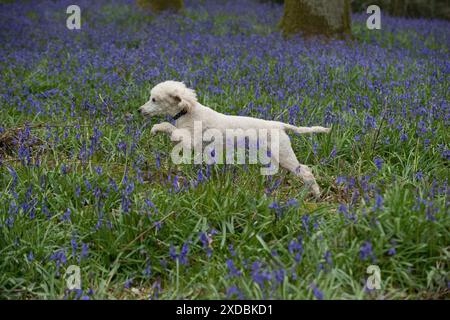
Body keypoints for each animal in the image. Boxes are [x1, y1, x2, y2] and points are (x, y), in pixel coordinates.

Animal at [139, 81, 332, 196]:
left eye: (154, 99)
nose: (139, 110)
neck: (188, 111)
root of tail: (281, 125)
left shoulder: (192, 139)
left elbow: (172, 129)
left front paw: (158, 128)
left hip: (283, 153)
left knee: (305, 171)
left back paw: (316, 194)